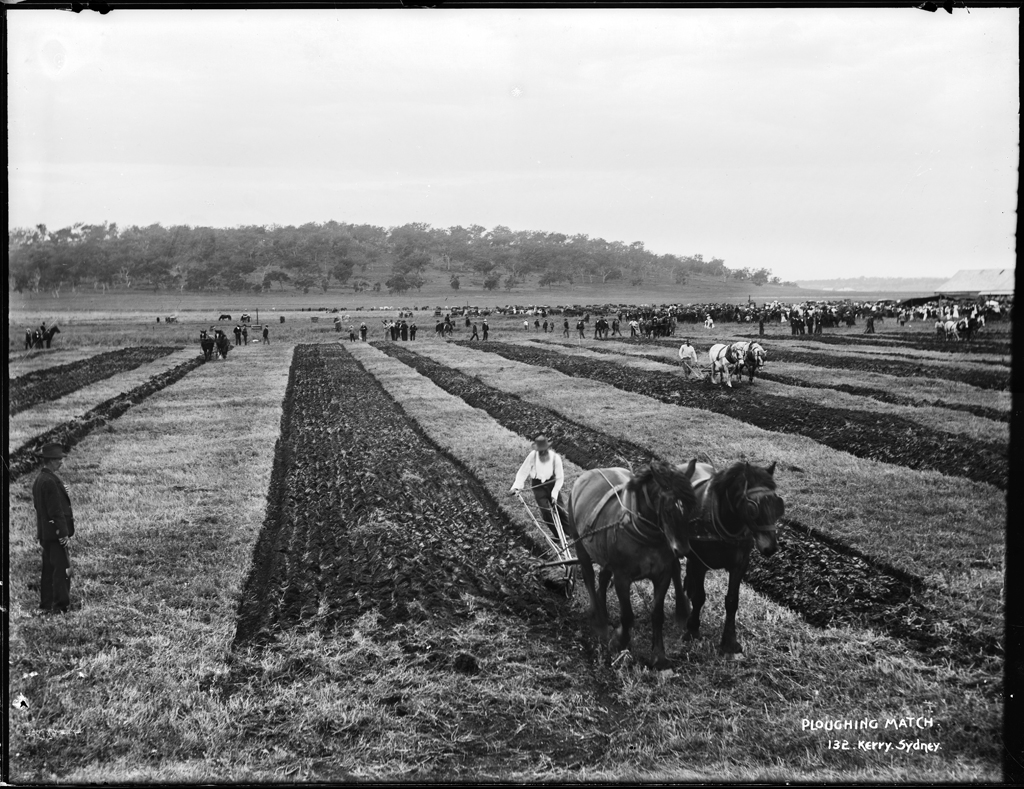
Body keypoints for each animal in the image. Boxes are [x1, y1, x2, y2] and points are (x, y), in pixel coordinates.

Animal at [565, 460, 700, 671]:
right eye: (668, 509)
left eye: (692, 507)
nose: (683, 549)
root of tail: (588, 474)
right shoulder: (622, 577)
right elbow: (627, 615)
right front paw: (618, 641)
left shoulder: (663, 575)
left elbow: (657, 615)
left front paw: (659, 656)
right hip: (580, 544)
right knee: (588, 576)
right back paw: (599, 620)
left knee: (603, 577)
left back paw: (603, 609)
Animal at [671, 462, 782, 659]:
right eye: (753, 507)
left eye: (778, 505)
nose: (770, 547)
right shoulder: (700, 563)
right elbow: (700, 597)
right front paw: (692, 629)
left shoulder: (740, 565)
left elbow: (732, 601)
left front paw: (729, 641)